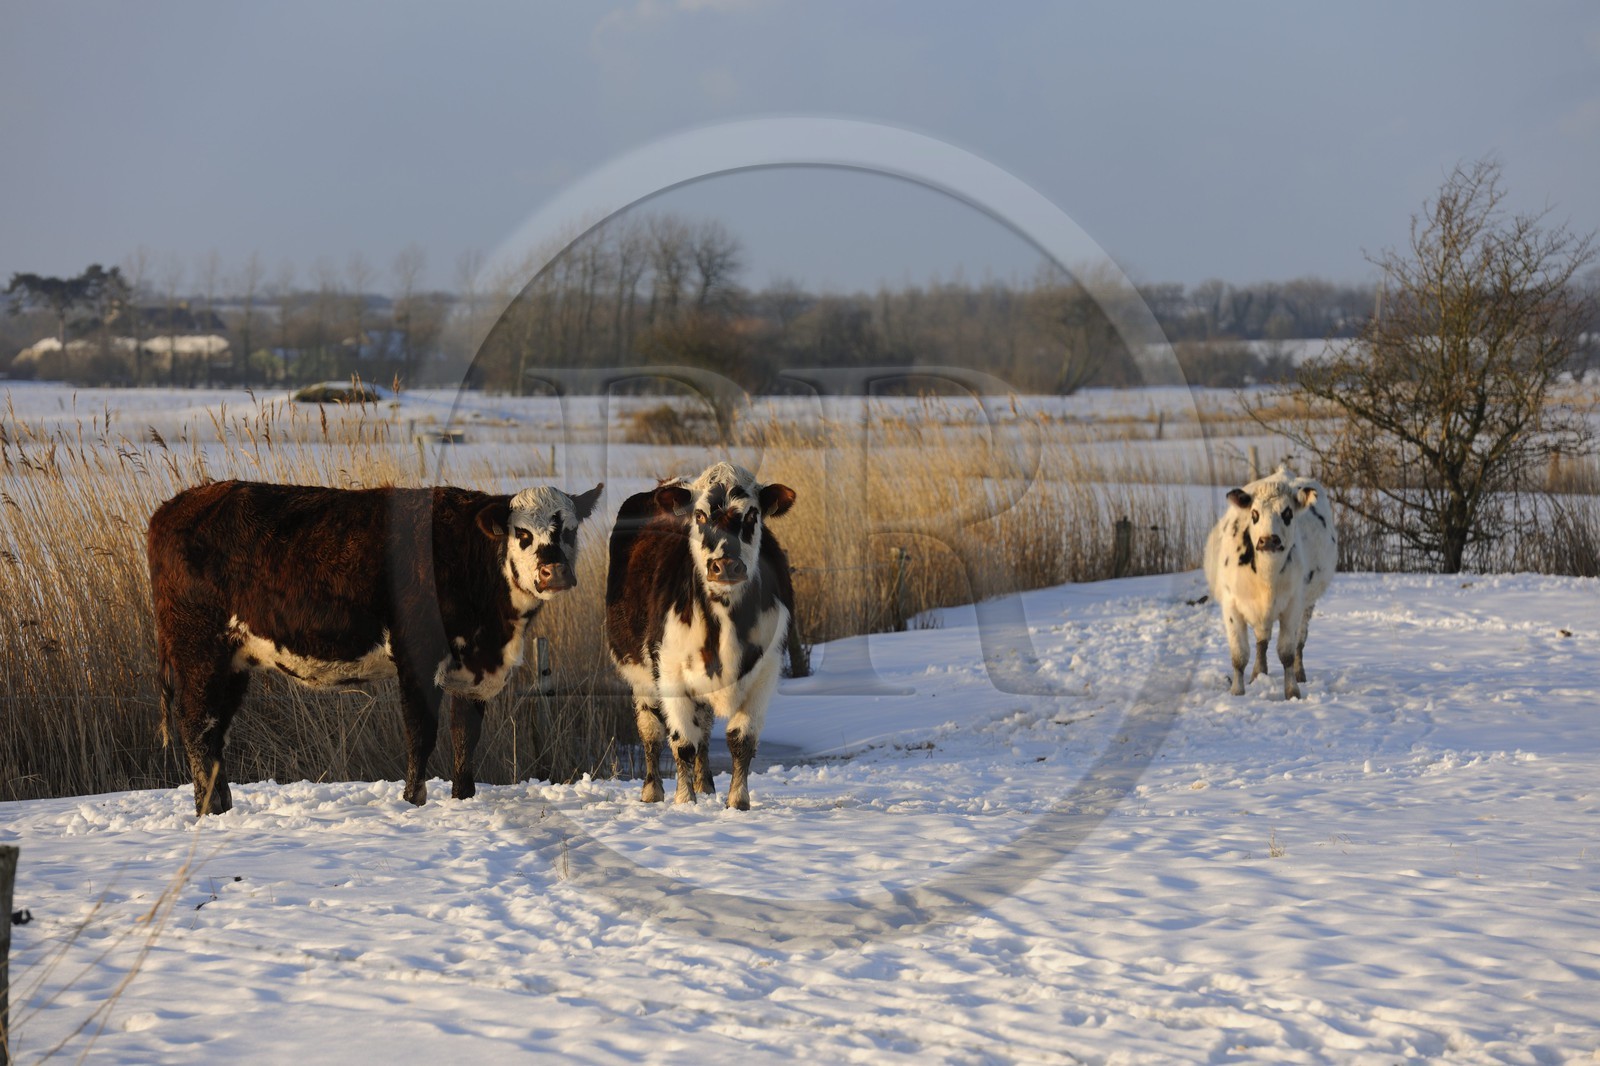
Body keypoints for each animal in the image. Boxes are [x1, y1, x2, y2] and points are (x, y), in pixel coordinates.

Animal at [146, 478, 603, 815]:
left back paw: (220, 807)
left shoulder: (472, 670)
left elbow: (464, 738)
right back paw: (209, 810)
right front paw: (413, 802)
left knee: (216, 731)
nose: (554, 571)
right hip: (200, 650)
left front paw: (463, 799)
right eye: (521, 533)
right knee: (198, 727)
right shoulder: (417, 656)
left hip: (232, 663)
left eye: (570, 530)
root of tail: (176, 505)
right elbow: (421, 734)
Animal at [605, 462, 796, 810]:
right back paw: (652, 792)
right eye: (700, 516)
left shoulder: (766, 671)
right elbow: (682, 742)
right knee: (651, 732)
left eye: (752, 515)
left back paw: (705, 786)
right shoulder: (669, 671)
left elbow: (741, 740)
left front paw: (737, 802)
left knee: (705, 730)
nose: (726, 566)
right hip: (639, 676)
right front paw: (684, 802)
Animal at [1202, 466, 1337, 699]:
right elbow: (1239, 655)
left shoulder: (1293, 605)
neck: (1267, 578)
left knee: (1300, 641)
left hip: (1308, 605)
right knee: (1262, 641)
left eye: (1288, 513)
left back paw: (1299, 674)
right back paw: (1258, 673)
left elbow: (1287, 652)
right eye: (1254, 514)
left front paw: (1292, 691)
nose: (1268, 540)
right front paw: (1237, 691)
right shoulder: (1231, 605)